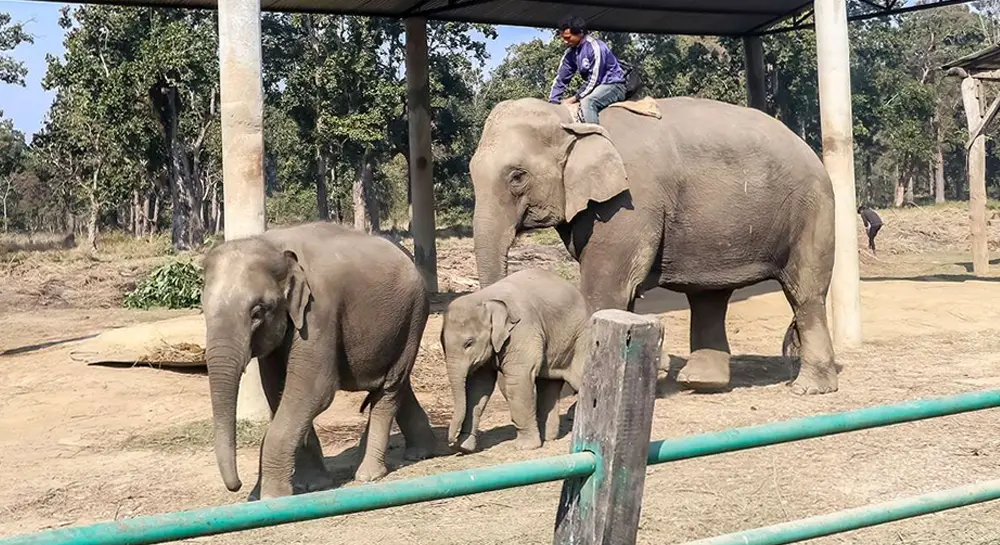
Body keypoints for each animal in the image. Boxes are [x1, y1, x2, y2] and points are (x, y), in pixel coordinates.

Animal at [201, 221, 437, 500]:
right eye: (203, 309)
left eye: (257, 312)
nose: (238, 486)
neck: (273, 244)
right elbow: (278, 391)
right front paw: (311, 485)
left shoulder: (318, 312)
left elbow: (313, 391)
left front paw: (273, 496)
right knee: (398, 384)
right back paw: (419, 453)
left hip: (414, 315)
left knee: (389, 388)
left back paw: (368, 474)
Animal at [441, 269, 589, 453]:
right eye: (442, 343)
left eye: (469, 343)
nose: (451, 442)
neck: (485, 298)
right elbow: (478, 388)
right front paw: (465, 447)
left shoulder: (522, 330)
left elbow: (518, 382)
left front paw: (525, 447)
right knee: (548, 384)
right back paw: (548, 437)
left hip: (579, 338)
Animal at [469, 96, 837, 396]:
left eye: (518, 176)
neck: (569, 120)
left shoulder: (630, 202)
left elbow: (606, 288)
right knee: (709, 297)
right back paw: (700, 382)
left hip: (812, 210)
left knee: (805, 293)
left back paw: (809, 388)